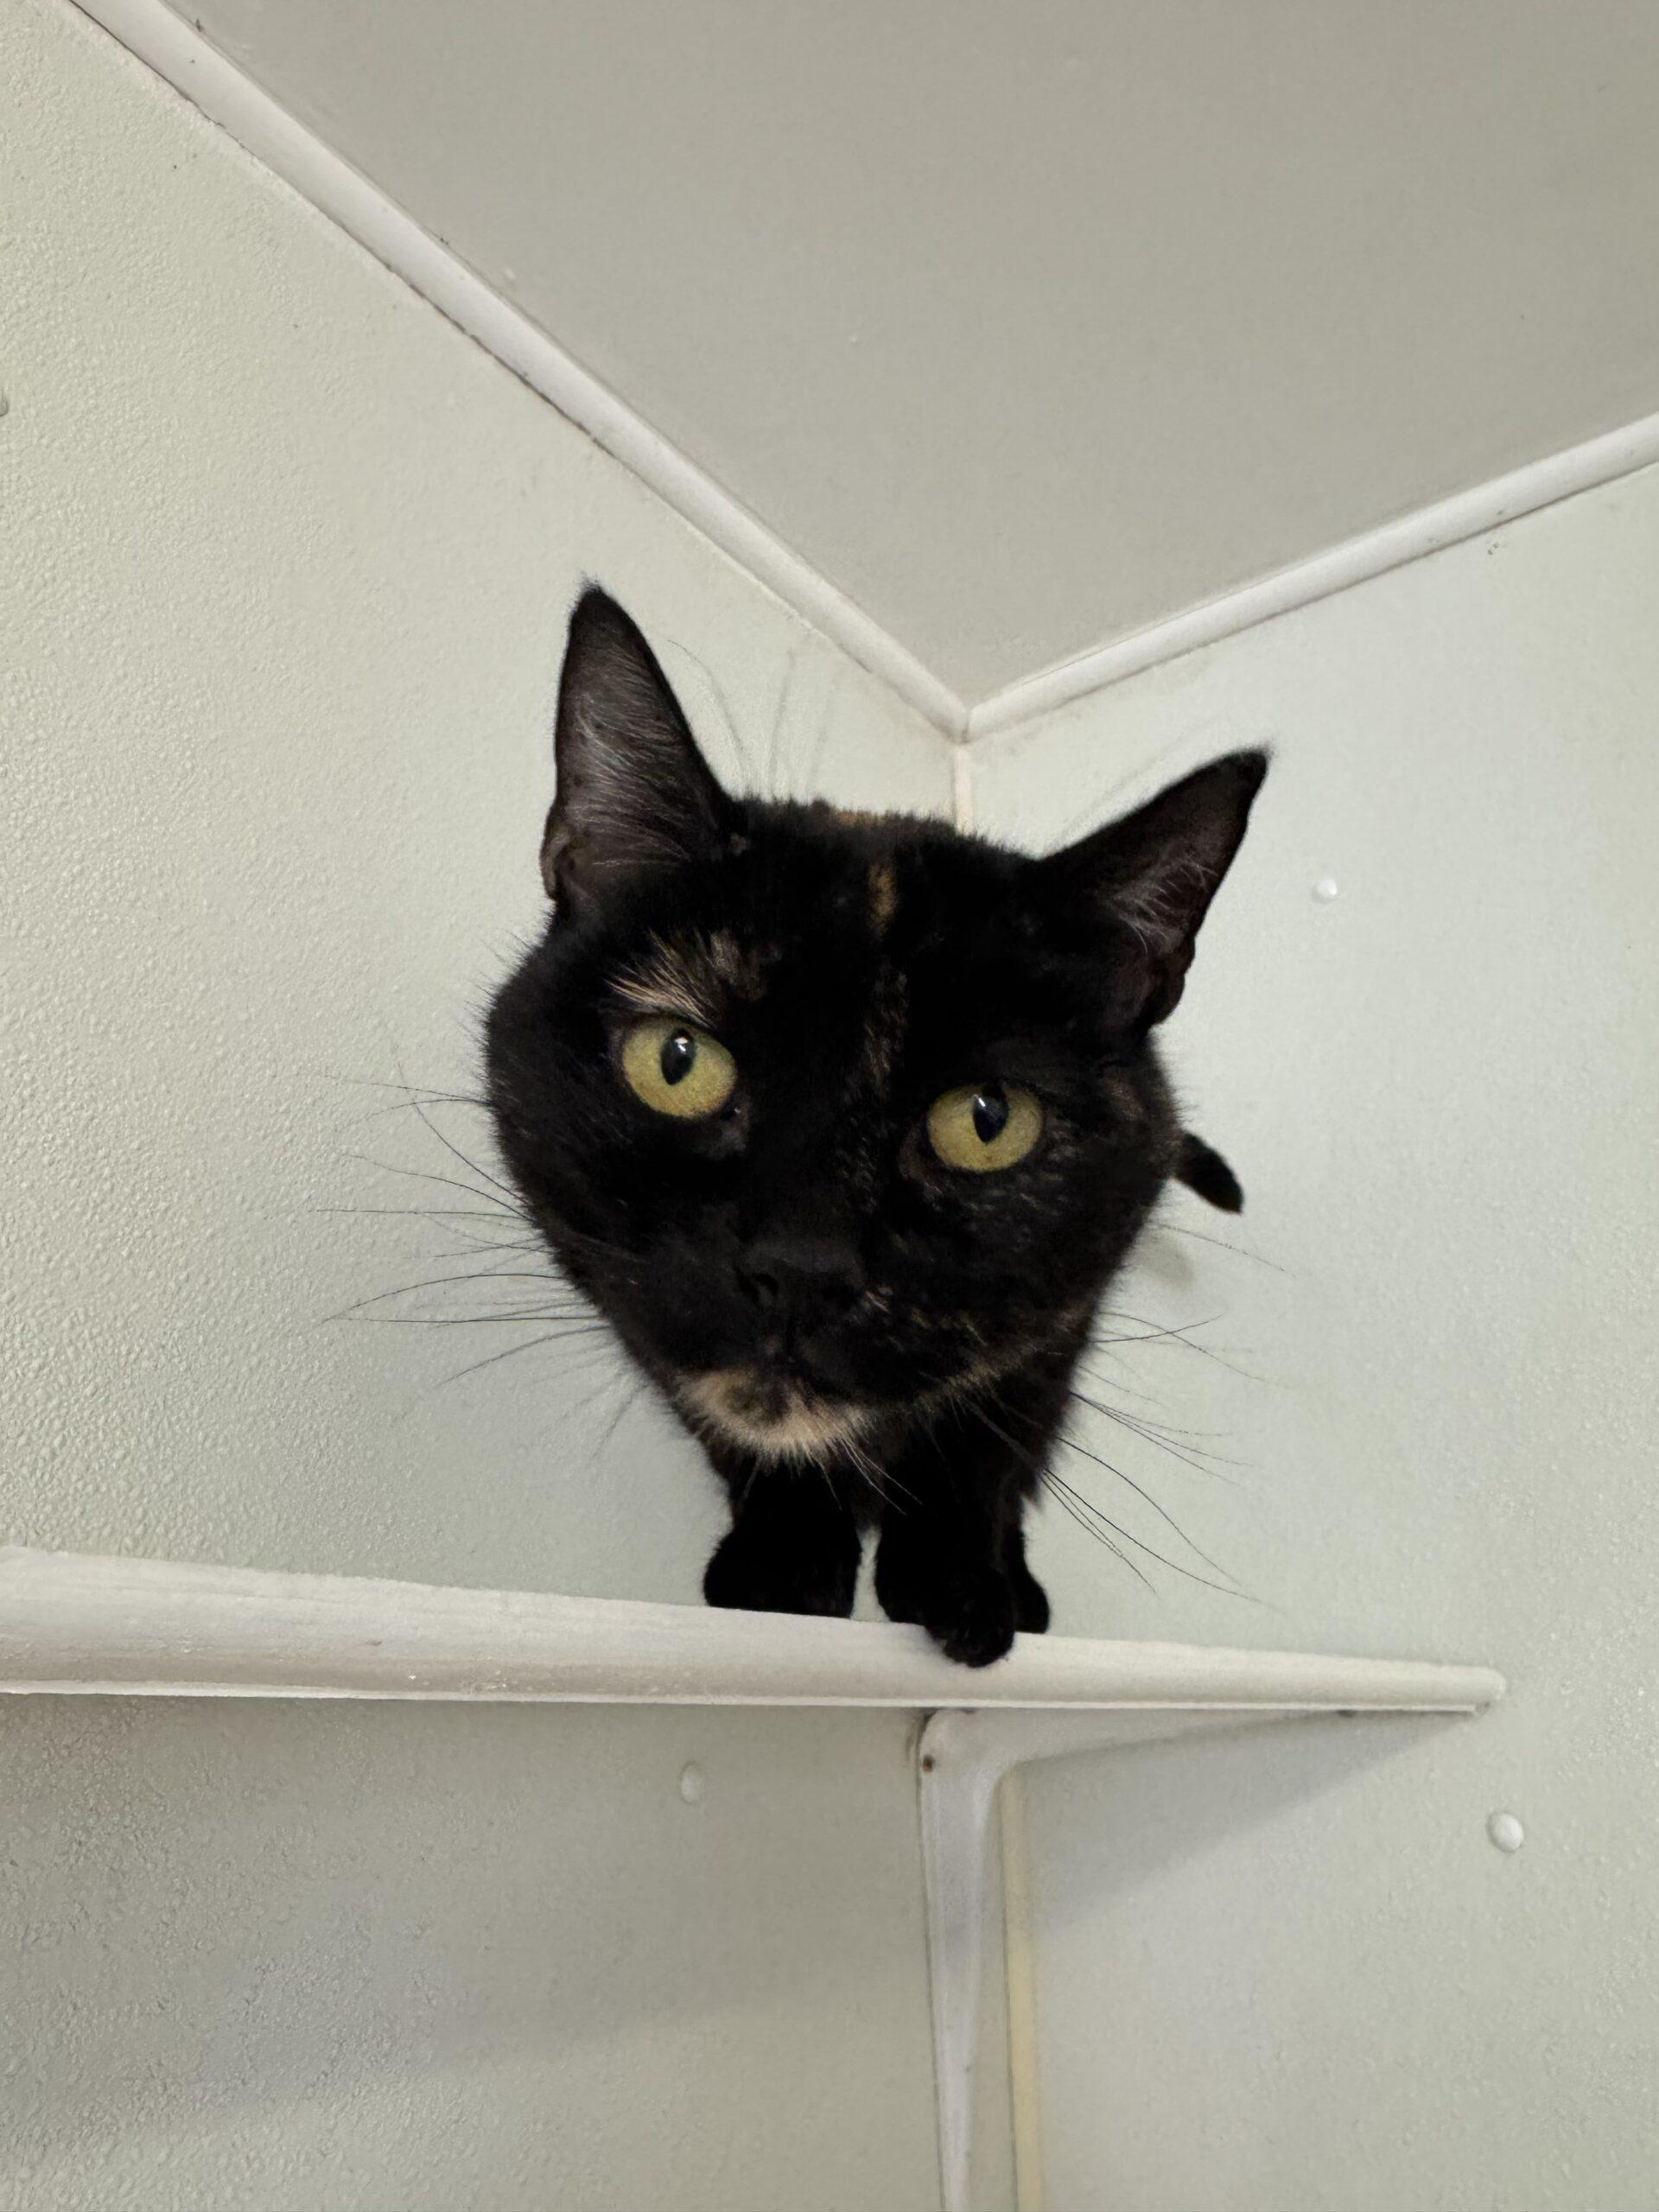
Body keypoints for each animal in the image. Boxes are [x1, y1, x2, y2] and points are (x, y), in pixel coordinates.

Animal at [486, 588, 1265, 1663]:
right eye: (677, 1061)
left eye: (989, 1119)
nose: (801, 1267)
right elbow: (742, 1440)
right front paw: (784, 1566)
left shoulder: (1059, 1322)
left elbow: (982, 1445)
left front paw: (960, 1587)